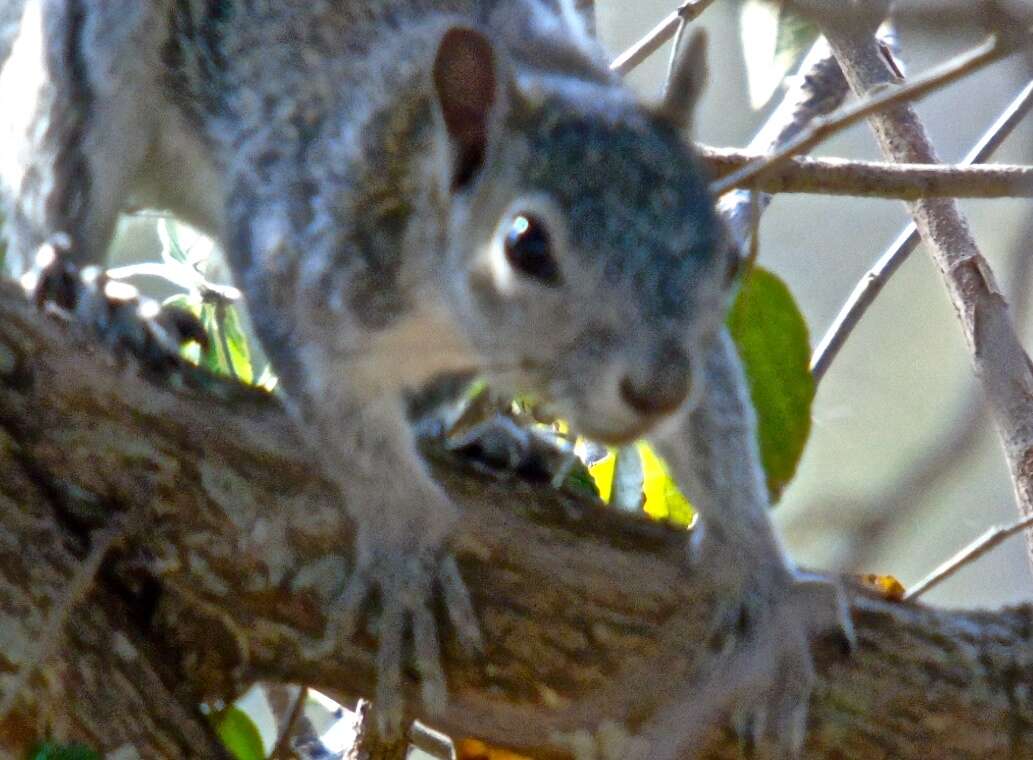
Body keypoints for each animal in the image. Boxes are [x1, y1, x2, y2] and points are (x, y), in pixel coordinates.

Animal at [0, 0, 847, 755]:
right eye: (525, 243)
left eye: (725, 257)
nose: (655, 391)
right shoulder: (306, 252)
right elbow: (344, 421)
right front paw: (406, 545)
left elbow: (717, 428)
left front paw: (761, 576)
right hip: (84, 85)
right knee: (55, 206)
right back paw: (97, 298)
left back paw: (495, 445)